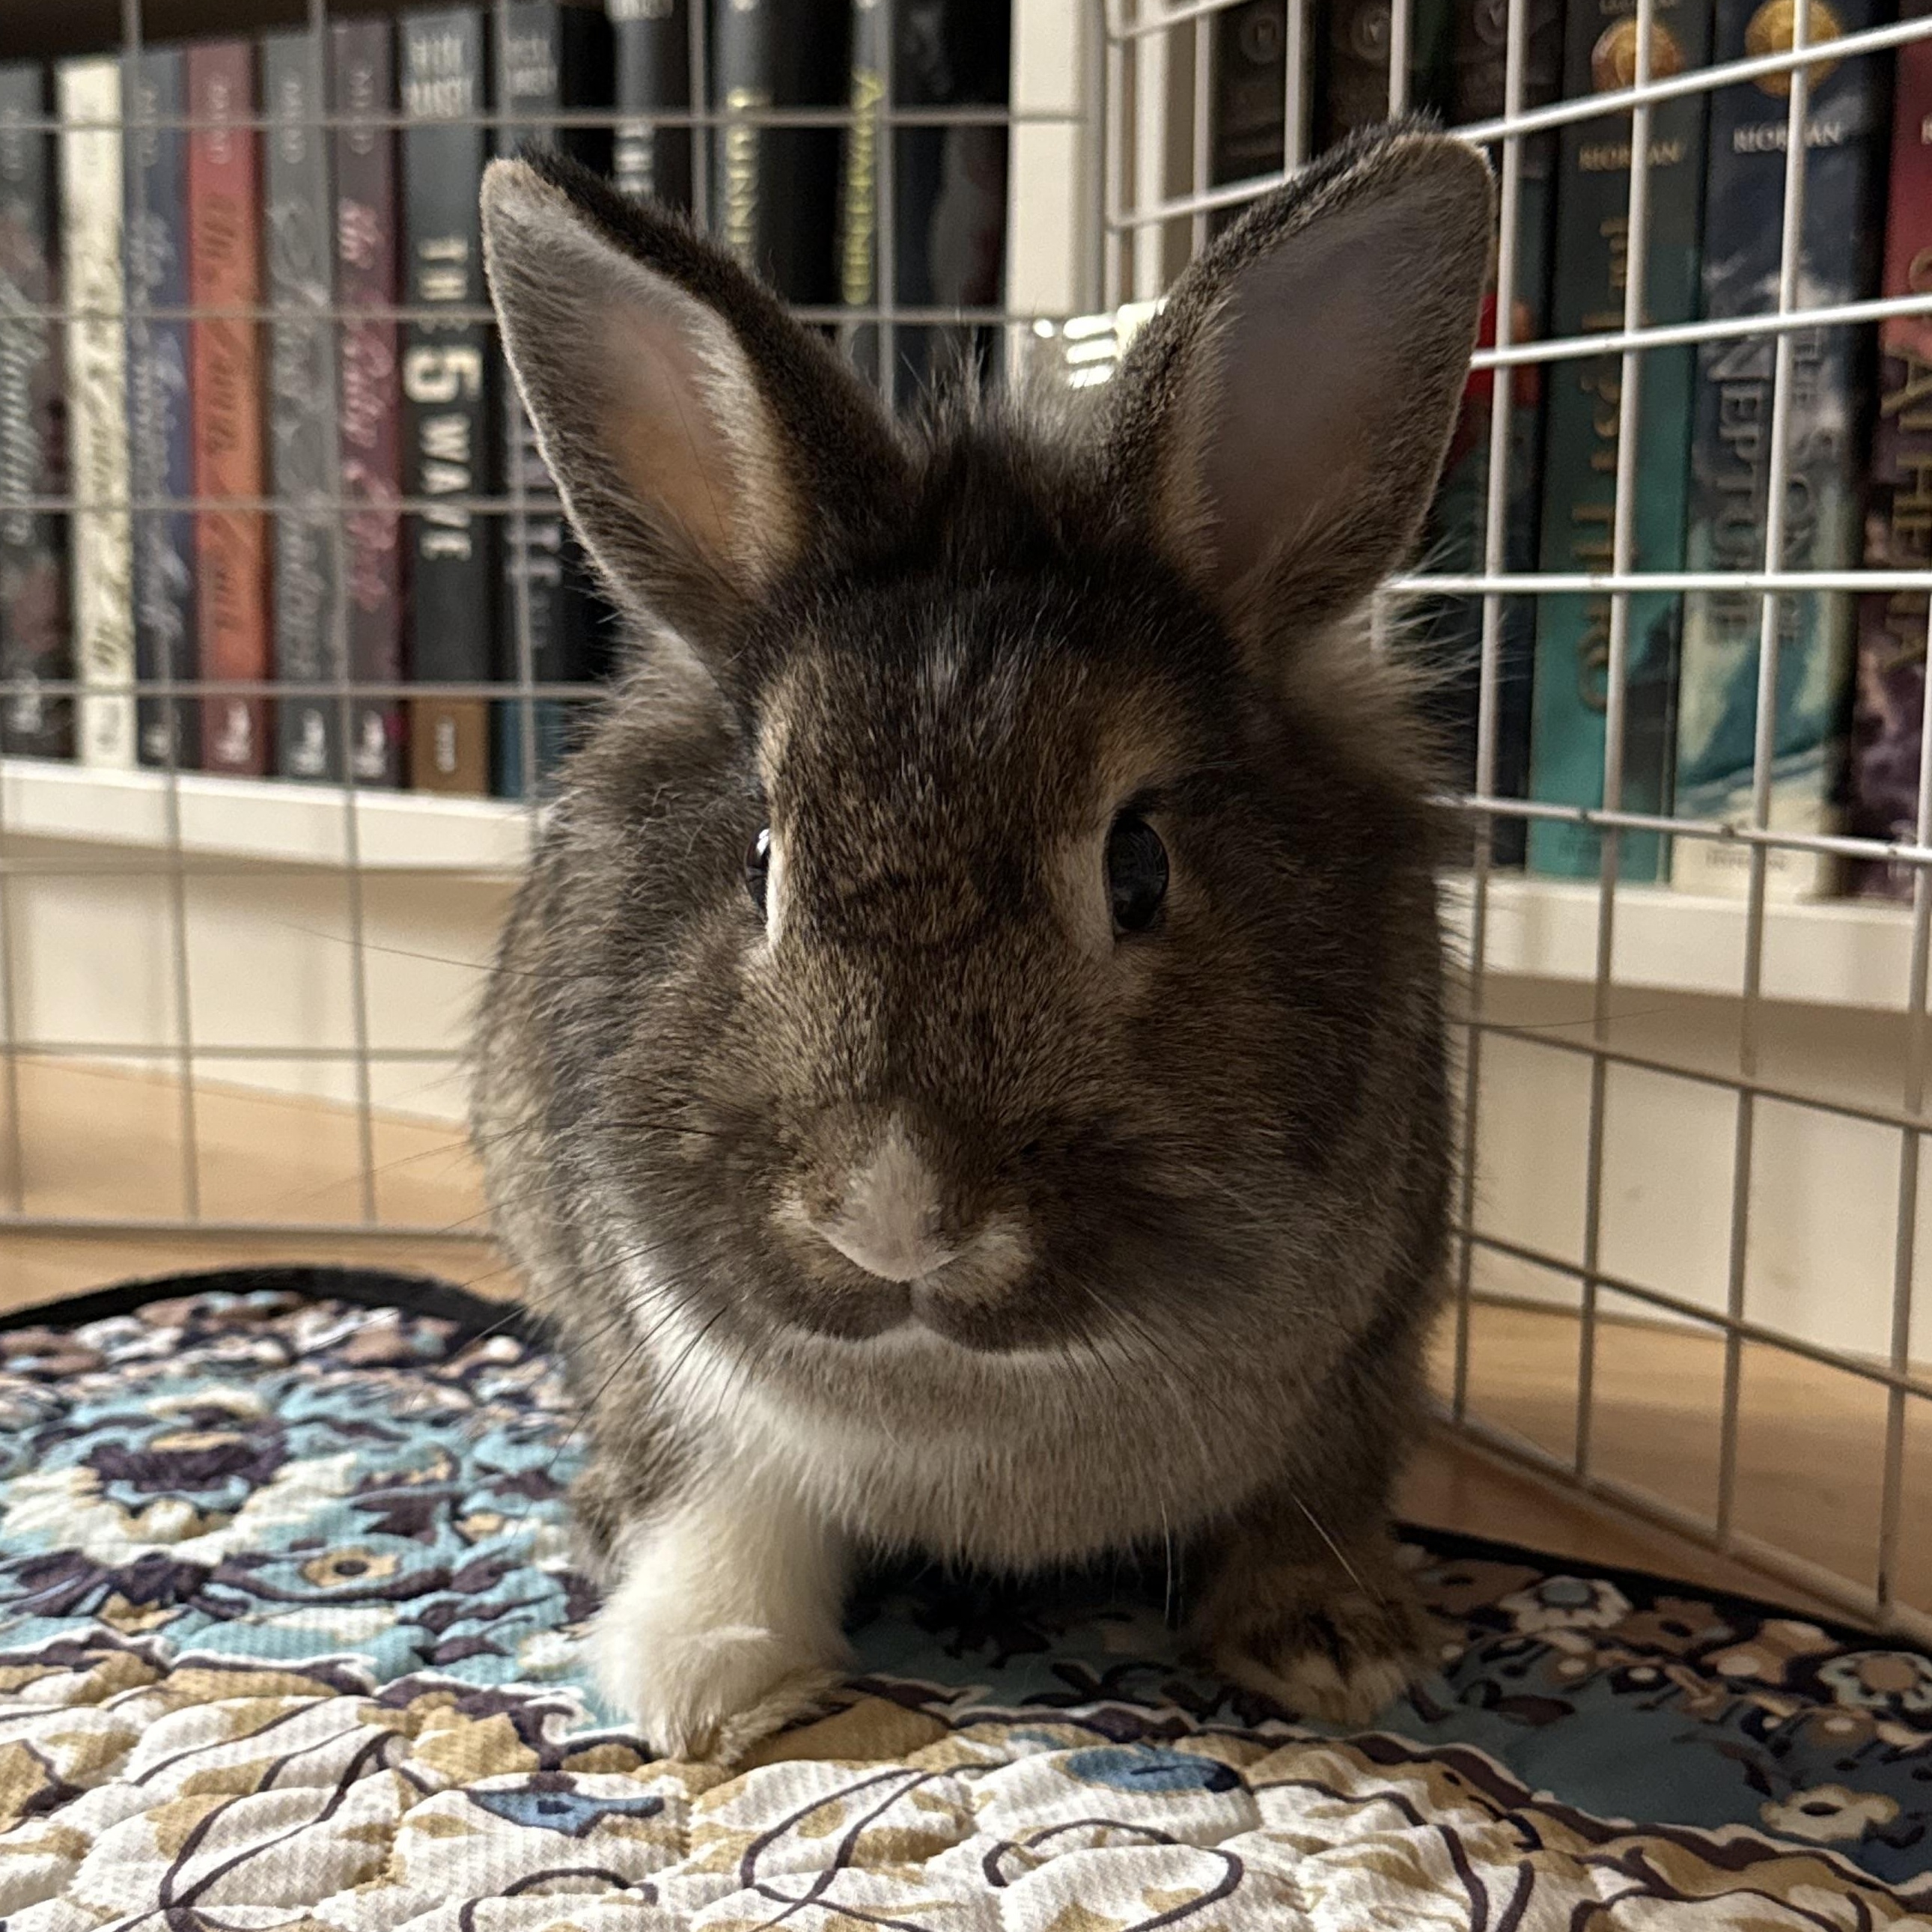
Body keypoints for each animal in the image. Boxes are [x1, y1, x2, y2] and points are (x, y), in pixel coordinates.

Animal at [474, 124, 1493, 1764]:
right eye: (760, 862)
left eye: (1138, 868)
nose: (892, 1221)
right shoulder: (670, 1365)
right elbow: (724, 1501)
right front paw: (699, 1677)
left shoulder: (1369, 1347)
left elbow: (1315, 1493)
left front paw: (1336, 1648)